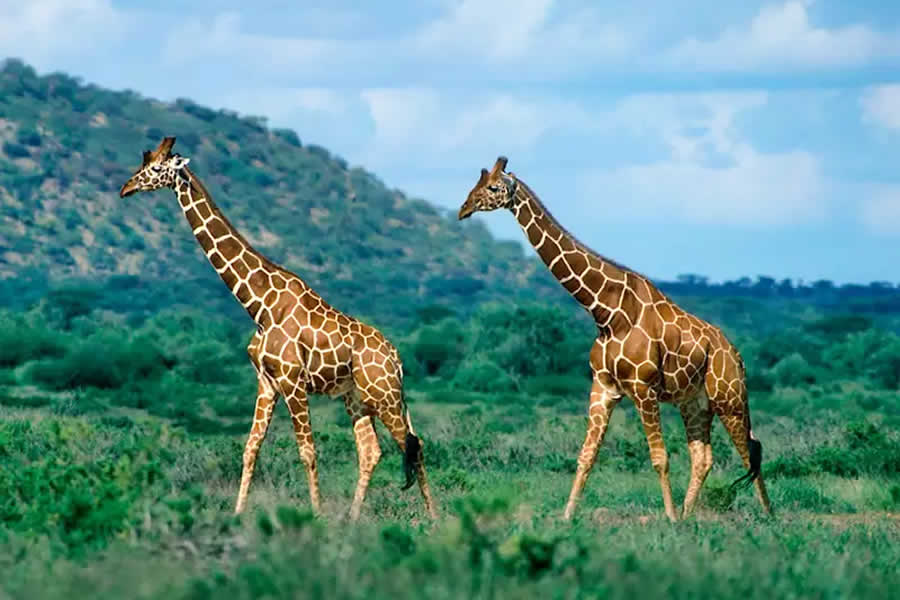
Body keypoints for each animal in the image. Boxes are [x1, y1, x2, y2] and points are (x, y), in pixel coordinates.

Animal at [120, 137, 440, 520]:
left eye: (155, 168)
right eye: (143, 164)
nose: (125, 188)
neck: (259, 304)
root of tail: (396, 359)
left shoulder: (292, 381)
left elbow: (308, 451)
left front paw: (315, 516)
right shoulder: (267, 382)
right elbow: (250, 448)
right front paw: (237, 514)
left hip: (385, 394)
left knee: (414, 445)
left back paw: (435, 519)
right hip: (357, 397)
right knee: (371, 450)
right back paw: (352, 519)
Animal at [460, 157, 768, 524]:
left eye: (493, 187)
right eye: (476, 184)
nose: (463, 209)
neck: (606, 312)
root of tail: (736, 354)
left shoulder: (643, 388)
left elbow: (659, 458)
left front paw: (668, 518)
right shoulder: (603, 387)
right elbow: (586, 456)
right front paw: (566, 517)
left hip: (729, 397)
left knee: (750, 451)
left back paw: (766, 516)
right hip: (694, 402)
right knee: (703, 457)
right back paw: (689, 514)